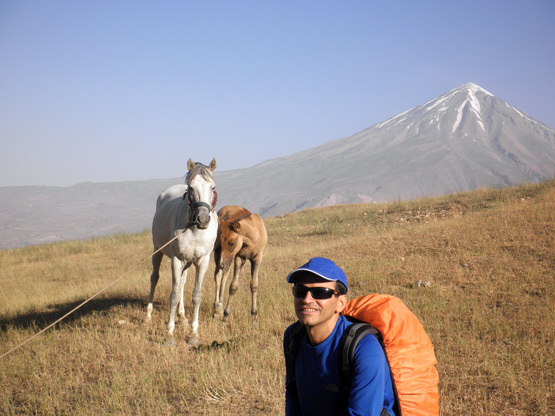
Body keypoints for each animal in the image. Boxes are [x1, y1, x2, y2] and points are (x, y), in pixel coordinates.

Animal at [144, 158, 218, 346]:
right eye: (191, 188)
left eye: (212, 187)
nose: (203, 219)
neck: (194, 229)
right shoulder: (177, 260)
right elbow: (174, 295)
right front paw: (169, 335)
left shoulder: (202, 261)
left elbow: (196, 295)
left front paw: (193, 334)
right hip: (158, 251)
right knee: (154, 278)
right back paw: (147, 317)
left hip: (188, 262)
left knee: (183, 283)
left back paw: (183, 317)